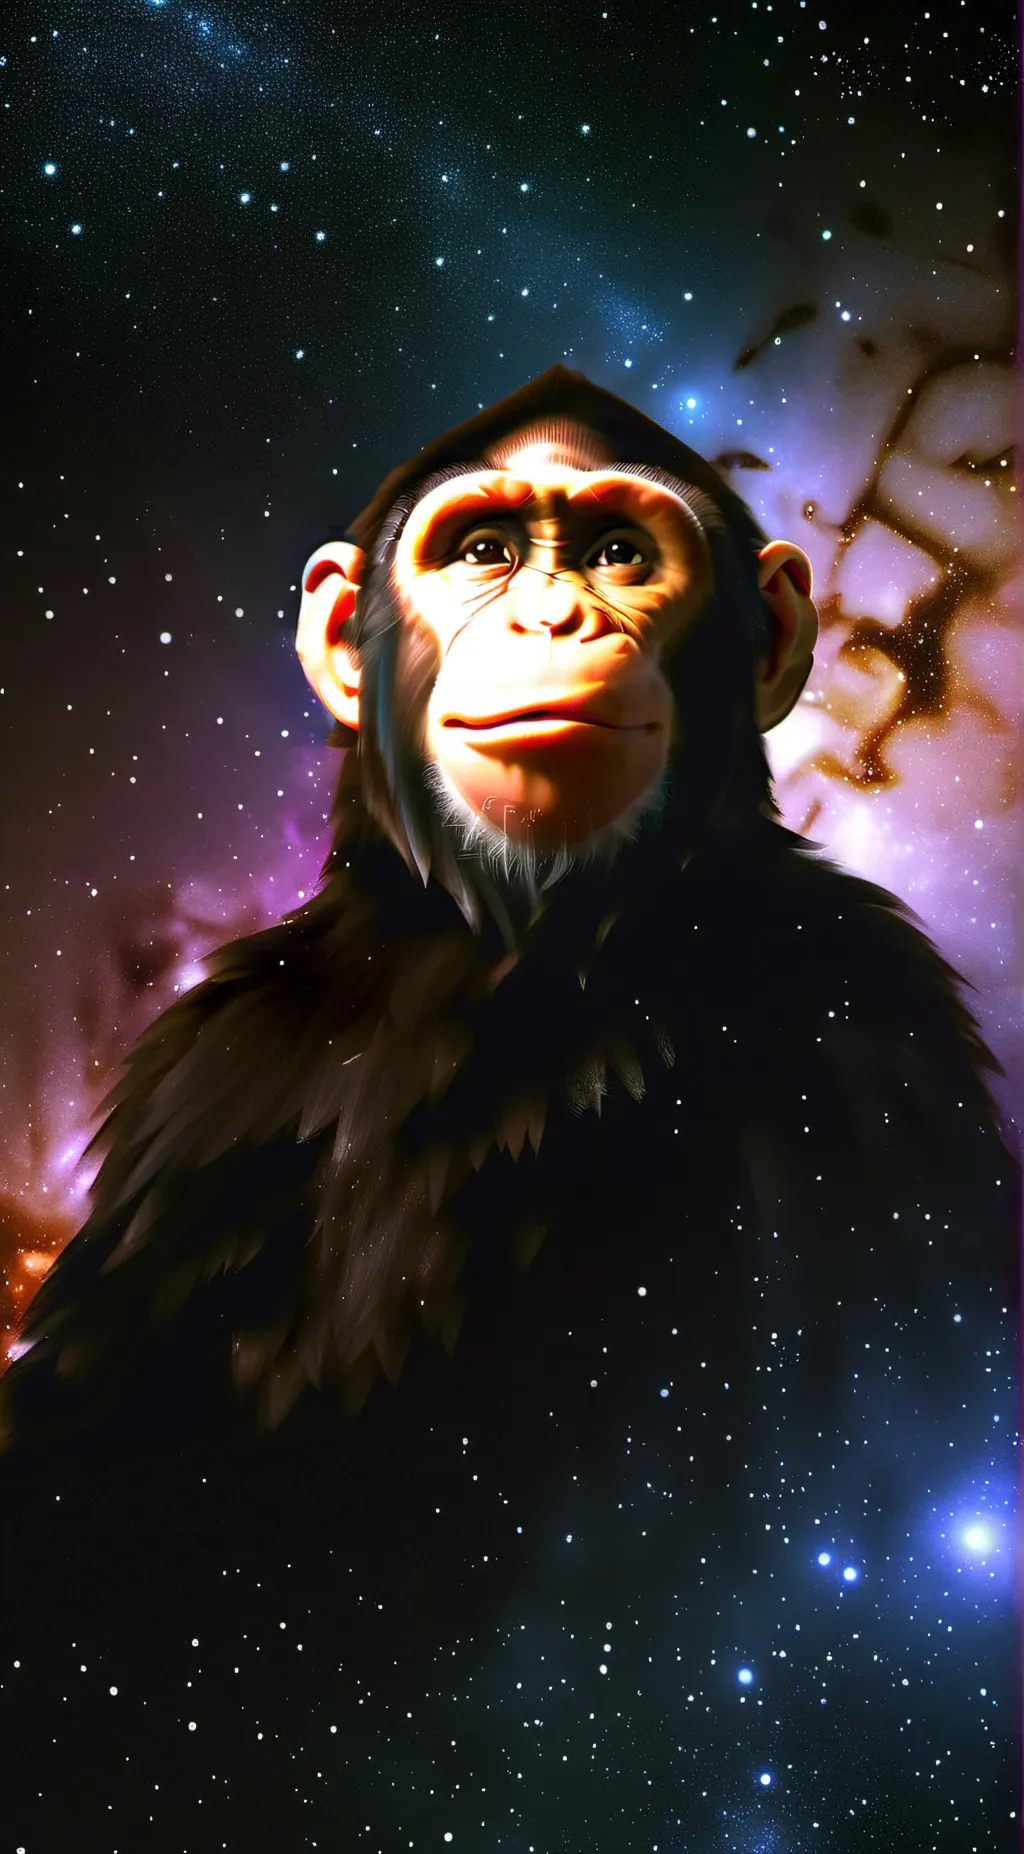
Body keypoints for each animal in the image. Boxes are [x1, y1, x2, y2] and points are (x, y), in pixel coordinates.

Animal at [2, 367, 1017, 1850]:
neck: (514, 958)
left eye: (619, 554)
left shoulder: (872, 1065)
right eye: (481, 550)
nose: (554, 618)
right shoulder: (209, 1072)